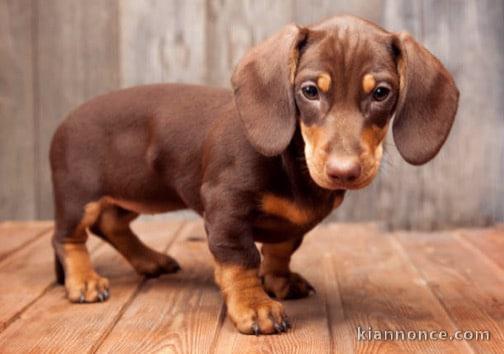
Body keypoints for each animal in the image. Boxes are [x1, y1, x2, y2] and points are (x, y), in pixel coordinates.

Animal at [50, 14, 456, 334]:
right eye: (310, 90)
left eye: (382, 92)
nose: (344, 172)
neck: (293, 163)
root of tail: (64, 122)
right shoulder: (226, 210)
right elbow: (241, 260)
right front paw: (254, 307)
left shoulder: (292, 225)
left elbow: (281, 249)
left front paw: (279, 281)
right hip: (78, 196)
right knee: (68, 238)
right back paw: (84, 281)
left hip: (137, 195)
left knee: (111, 224)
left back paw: (149, 259)